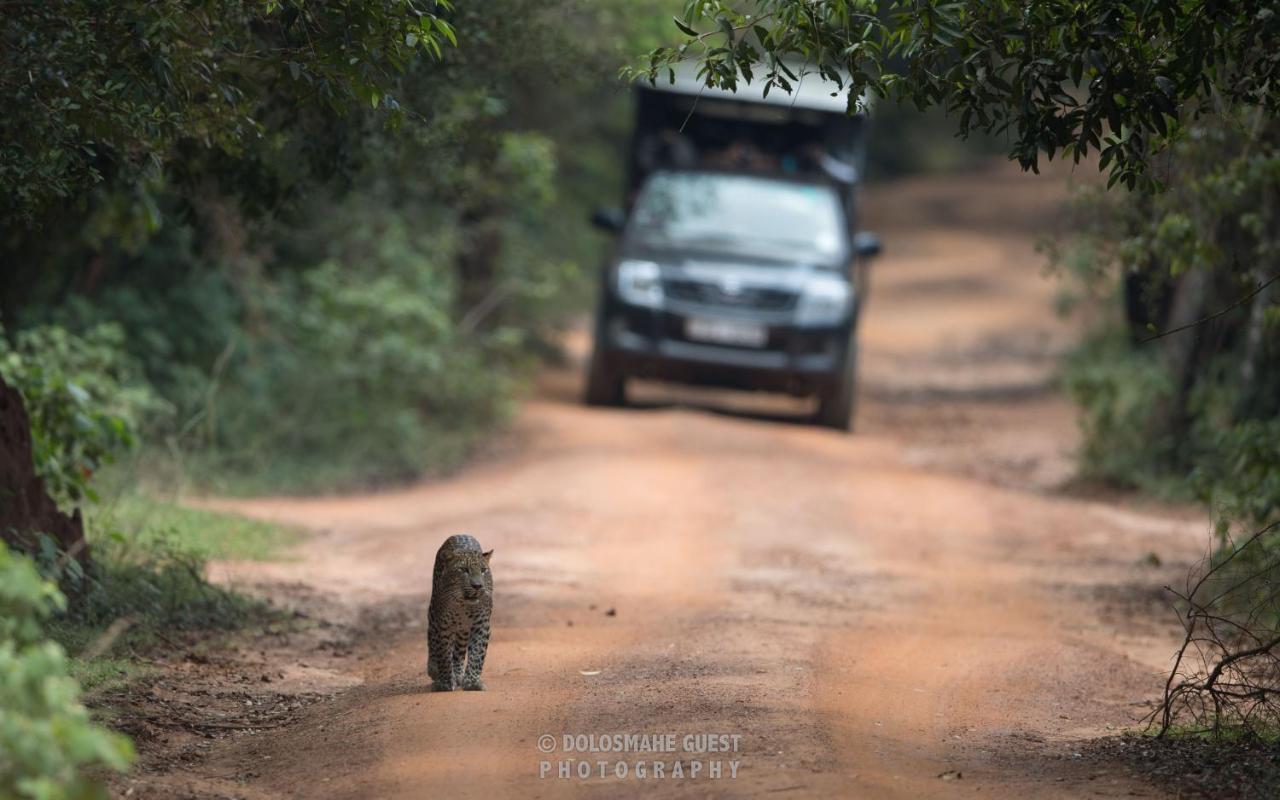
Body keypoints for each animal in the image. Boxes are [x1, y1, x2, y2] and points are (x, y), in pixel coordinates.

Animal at [427, 532, 491, 691]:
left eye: (483, 570)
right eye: (464, 570)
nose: (477, 586)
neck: (463, 605)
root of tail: (459, 534)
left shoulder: (482, 624)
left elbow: (477, 653)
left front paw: (473, 682)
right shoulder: (443, 625)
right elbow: (443, 654)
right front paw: (445, 683)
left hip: (463, 630)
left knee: (459, 651)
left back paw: (458, 674)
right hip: (433, 613)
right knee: (431, 639)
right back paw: (433, 670)